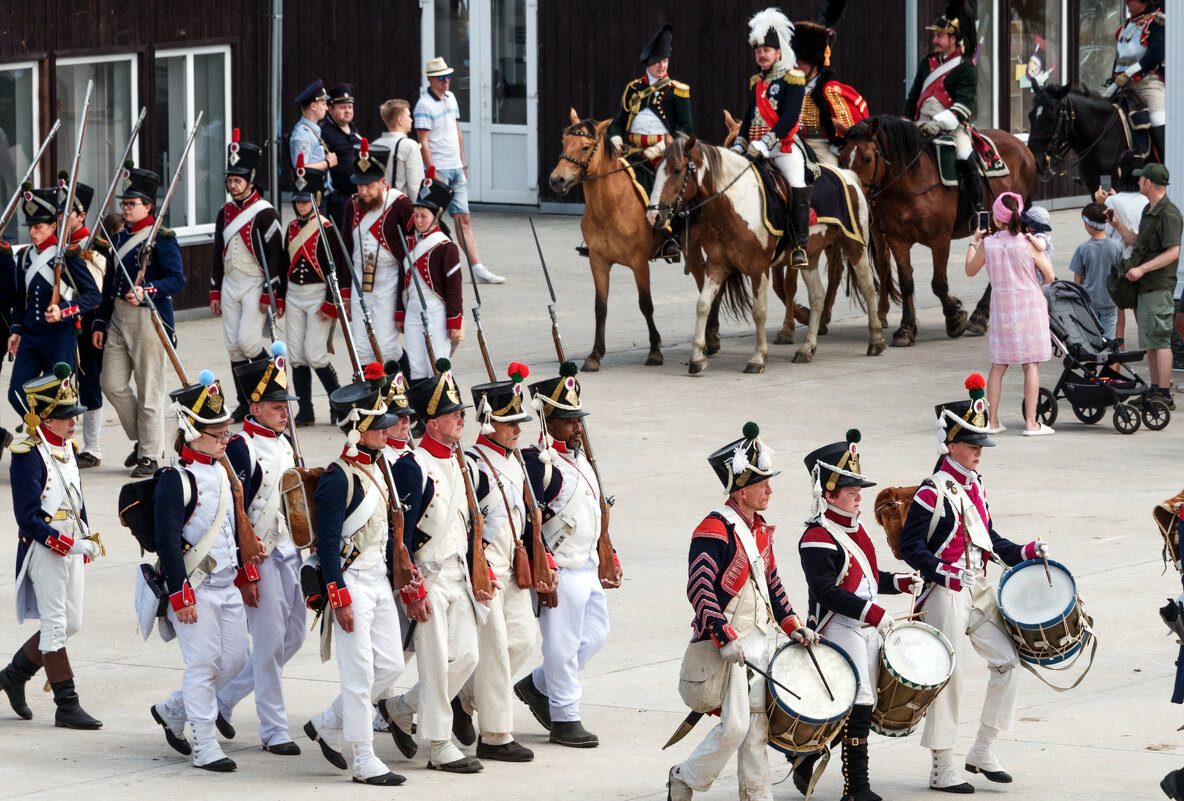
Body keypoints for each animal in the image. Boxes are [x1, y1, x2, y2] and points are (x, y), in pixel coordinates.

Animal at [544, 107, 700, 373]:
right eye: (565, 142)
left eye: (585, 147)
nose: (557, 180)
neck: (610, 207)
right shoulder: (598, 261)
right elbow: (601, 306)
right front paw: (595, 354)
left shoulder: (639, 262)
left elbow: (646, 304)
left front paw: (655, 350)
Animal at [648, 136, 890, 373]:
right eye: (657, 169)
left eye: (677, 170)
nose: (654, 216)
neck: (734, 203)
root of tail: (847, 176)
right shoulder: (716, 266)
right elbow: (703, 305)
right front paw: (697, 357)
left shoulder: (759, 268)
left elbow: (759, 311)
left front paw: (758, 358)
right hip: (810, 256)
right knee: (818, 296)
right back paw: (806, 349)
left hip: (854, 244)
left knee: (867, 286)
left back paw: (876, 339)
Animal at [843, 115, 1037, 343]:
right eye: (841, 157)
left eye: (867, 158)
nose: (852, 194)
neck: (912, 180)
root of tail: (1020, 144)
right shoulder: (896, 238)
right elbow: (906, 282)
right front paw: (906, 328)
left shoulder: (940, 239)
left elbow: (938, 283)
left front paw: (954, 318)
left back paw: (980, 316)